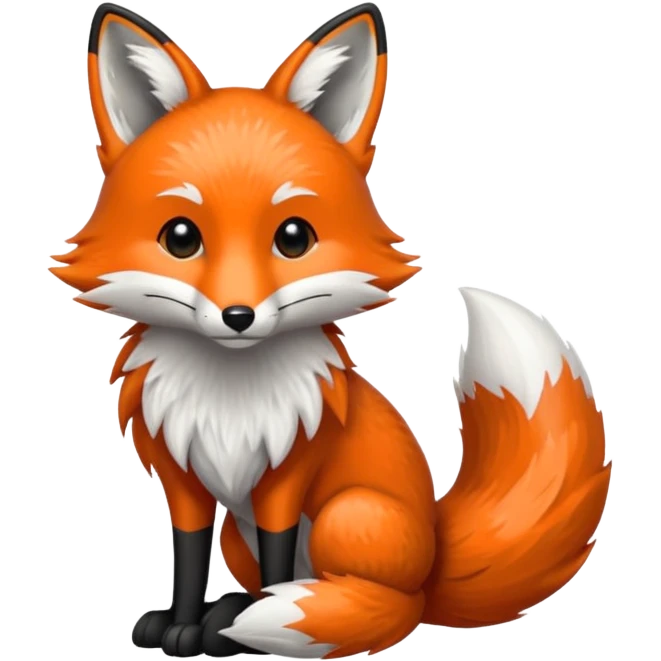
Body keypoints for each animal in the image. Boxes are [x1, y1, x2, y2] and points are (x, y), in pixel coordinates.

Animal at [50, 2, 612, 658]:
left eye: (293, 237)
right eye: (181, 238)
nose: (237, 317)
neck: (229, 398)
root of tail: (435, 554)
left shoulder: (287, 476)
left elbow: (277, 556)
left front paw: (251, 626)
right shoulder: (181, 478)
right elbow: (188, 559)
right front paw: (181, 625)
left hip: (350, 515)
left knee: (388, 607)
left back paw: (269, 615)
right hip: (252, 532)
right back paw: (229, 612)